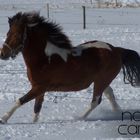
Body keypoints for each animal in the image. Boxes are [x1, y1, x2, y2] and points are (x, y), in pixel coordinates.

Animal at [0, 12, 140, 123]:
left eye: (17, 35)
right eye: (7, 33)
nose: (3, 54)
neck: (44, 59)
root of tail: (116, 50)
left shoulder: (39, 87)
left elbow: (20, 101)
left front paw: (3, 119)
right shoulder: (39, 89)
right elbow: (36, 108)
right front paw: (34, 123)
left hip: (101, 81)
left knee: (95, 101)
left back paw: (79, 118)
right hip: (101, 81)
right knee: (110, 95)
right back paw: (118, 113)